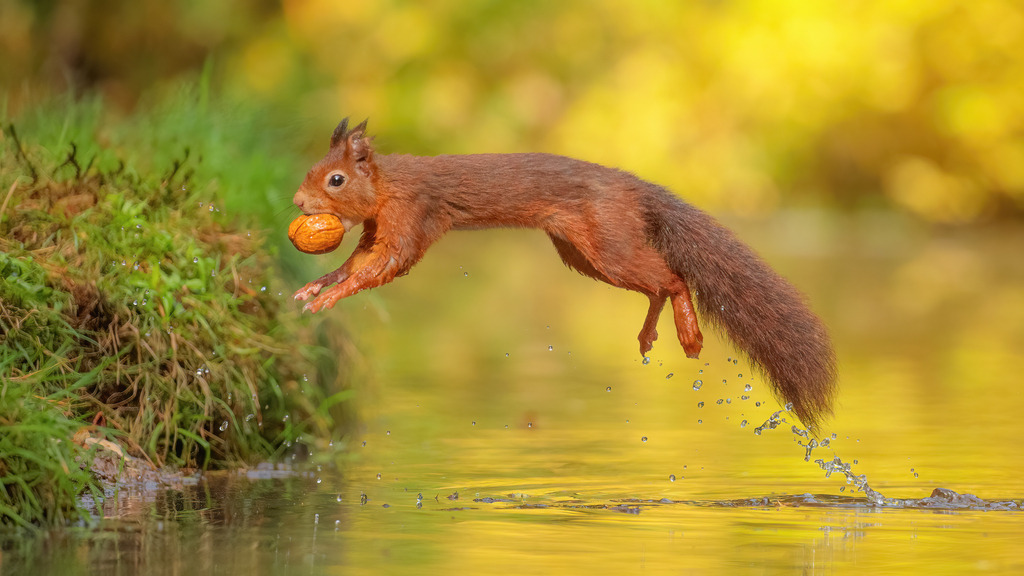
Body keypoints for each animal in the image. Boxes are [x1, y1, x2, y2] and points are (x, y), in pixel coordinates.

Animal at [292, 118, 837, 429]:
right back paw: (650, 333)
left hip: (607, 244)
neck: (388, 185)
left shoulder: (412, 217)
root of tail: (637, 189)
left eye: (335, 179)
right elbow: (356, 262)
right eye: (311, 170)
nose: (298, 202)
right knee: (656, 284)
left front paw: (329, 298)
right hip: (585, 255)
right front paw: (317, 285)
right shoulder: (376, 229)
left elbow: (386, 265)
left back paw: (689, 332)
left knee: (674, 278)